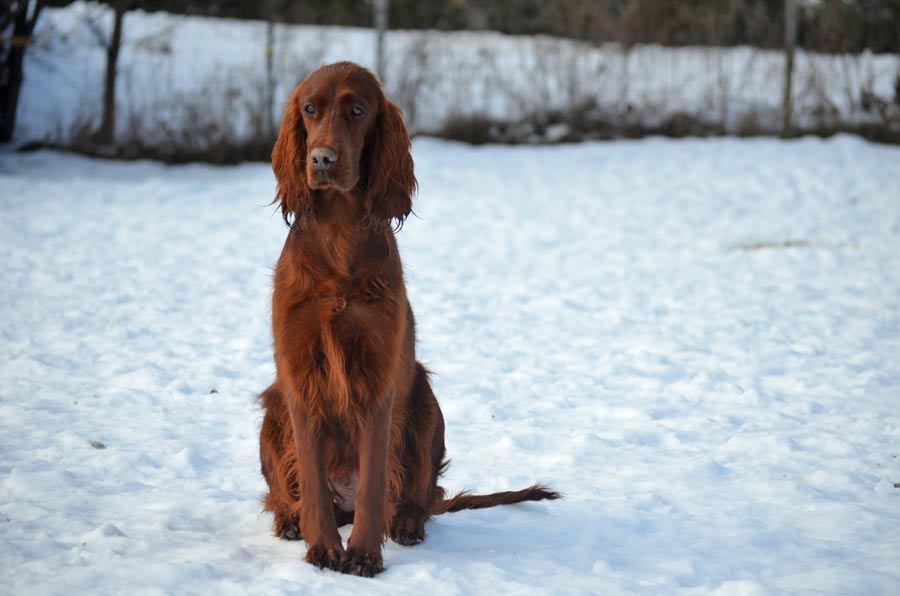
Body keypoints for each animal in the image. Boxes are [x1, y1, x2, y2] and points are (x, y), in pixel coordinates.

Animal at [256, 61, 560, 576]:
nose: (321, 160)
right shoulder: (300, 376)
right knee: (287, 494)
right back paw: (291, 520)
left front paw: (362, 553)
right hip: (273, 406)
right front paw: (324, 550)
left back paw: (405, 524)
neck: (340, 234)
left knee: (419, 495)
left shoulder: (378, 378)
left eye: (357, 110)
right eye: (310, 109)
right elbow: (312, 478)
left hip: (425, 402)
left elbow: (376, 480)